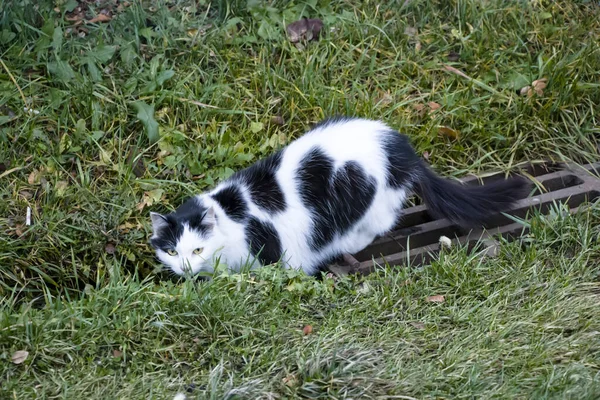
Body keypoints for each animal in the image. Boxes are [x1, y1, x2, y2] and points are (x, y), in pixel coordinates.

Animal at [151, 117, 528, 276]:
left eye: (197, 249)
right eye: (172, 252)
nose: (184, 267)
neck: (229, 217)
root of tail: (402, 149)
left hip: (369, 196)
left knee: (379, 223)